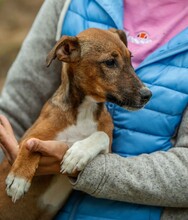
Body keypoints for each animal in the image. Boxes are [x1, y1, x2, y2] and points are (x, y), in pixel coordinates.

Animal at [0, 27, 151, 220]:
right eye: (110, 62)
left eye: (130, 58)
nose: (147, 95)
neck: (84, 111)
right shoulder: (30, 136)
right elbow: (29, 145)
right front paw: (18, 180)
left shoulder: (108, 150)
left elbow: (100, 135)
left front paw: (77, 154)